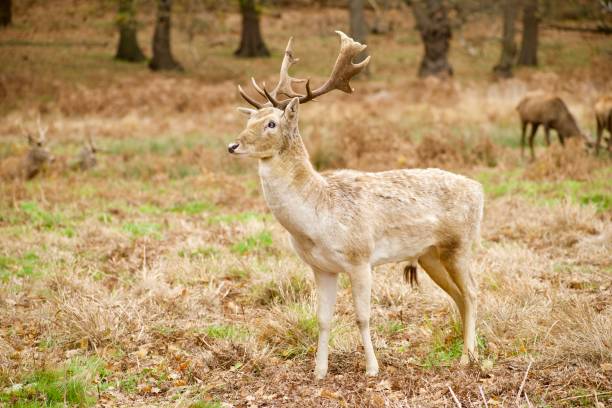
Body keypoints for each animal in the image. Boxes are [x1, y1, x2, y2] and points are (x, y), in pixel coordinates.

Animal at [227, 31, 486, 380]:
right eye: (251, 118)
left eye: (271, 124)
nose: (233, 145)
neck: (316, 219)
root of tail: (479, 189)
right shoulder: (321, 267)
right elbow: (322, 318)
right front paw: (319, 371)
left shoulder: (361, 257)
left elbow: (363, 316)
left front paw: (372, 369)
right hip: (429, 254)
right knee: (458, 295)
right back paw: (462, 350)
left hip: (459, 243)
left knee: (472, 292)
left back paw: (467, 358)